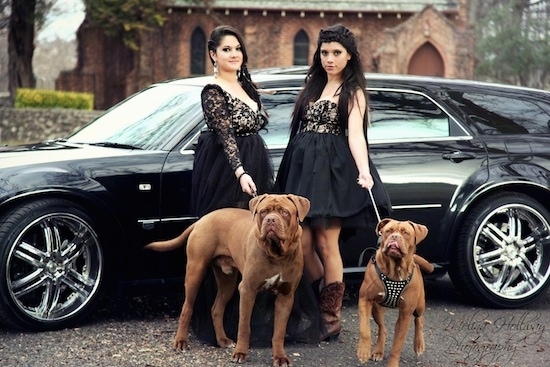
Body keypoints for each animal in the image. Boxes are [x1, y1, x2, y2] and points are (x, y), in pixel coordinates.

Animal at [146, 194, 310, 366]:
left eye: (285, 212)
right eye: (263, 212)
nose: (271, 220)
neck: (277, 254)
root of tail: (203, 219)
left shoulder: (286, 296)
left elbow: (279, 331)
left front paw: (280, 357)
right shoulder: (247, 290)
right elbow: (244, 325)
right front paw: (240, 353)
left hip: (227, 282)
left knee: (216, 309)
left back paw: (222, 340)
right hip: (195, 271)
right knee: (187, 308)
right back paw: (181, 341)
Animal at [358, 220, 436, 366]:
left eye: (405, 232)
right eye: (389, 231)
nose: (395, 237)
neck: (395, 269)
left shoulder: (405, 314)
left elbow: (397, 345)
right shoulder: (365, 299)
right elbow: (364, 328)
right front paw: (363, 350)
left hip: (419, 304)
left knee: (419, 319)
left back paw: (419, 344)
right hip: (377, 308)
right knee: (382, 328)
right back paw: (378, 351)